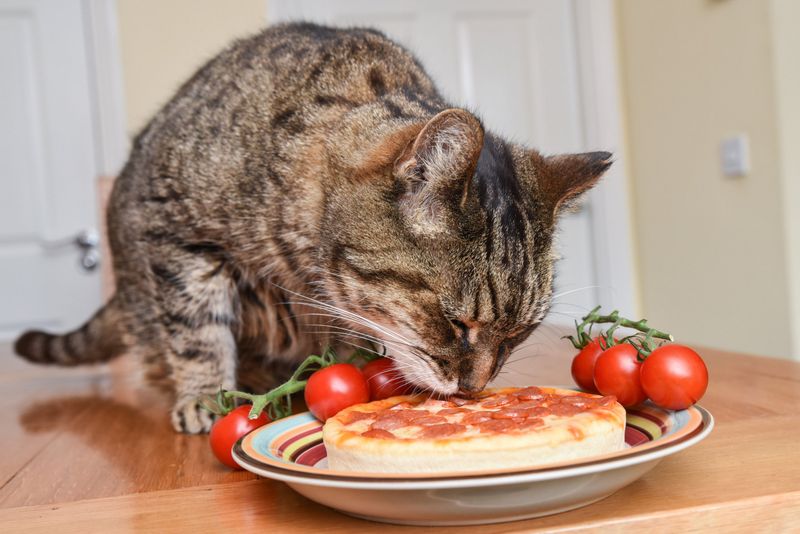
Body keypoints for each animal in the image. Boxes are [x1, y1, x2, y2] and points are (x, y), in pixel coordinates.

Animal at [14, 24, 612, 436]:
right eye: (455, 322)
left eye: (516, 336)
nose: (474, 391)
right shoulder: (174, 229)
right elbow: (197, 329)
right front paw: (207, 396)